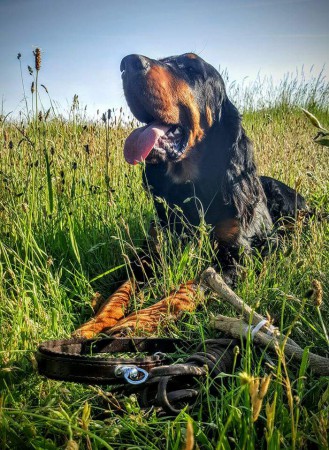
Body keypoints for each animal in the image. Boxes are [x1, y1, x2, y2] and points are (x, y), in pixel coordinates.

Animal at [75, 52, 304, 338]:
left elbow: (189, 287)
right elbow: (120, 290)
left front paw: (136, 321)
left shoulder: (238, 258)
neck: (189, 189)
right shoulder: (151, 251)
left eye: (192, 68)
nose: (127, 63)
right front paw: (94, 324)